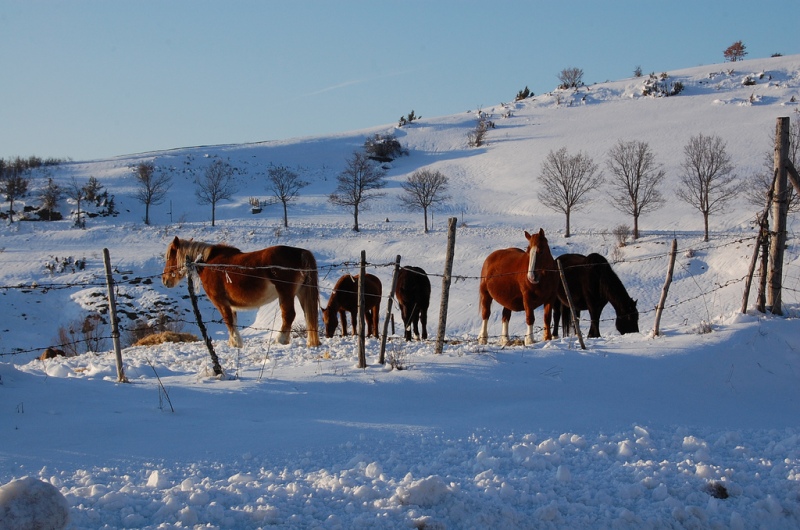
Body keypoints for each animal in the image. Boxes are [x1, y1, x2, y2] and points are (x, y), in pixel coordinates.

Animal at [161, 235, 320, 346]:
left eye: (170, 257)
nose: (165, 280)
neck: (209, 264)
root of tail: (300, 252)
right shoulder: (231, 306)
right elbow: (233, 322)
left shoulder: (221, 303)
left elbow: (229, 322)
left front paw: (236, 343)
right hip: (301, 293)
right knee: (307, 315)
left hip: (285, 294)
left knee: (289, 315)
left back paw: (280, 340)